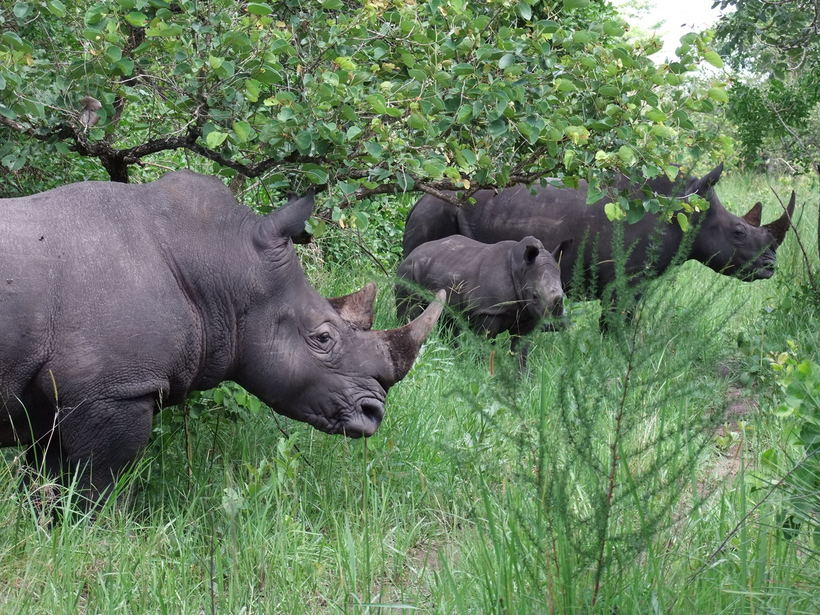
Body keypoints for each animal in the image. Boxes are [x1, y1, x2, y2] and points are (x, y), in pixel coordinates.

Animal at [396, 233, 564, 364]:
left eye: (563, 294)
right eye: (535, 295)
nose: (553, 325)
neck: (521, 271)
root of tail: (412, 252)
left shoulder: (527, 314)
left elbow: (520, 350)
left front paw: (522, 379)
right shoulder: (488, 311)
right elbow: (486, 343)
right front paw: (483, 371)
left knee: (449, 320)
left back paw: (453, 357)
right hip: (409, 271)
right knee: (410, 311)